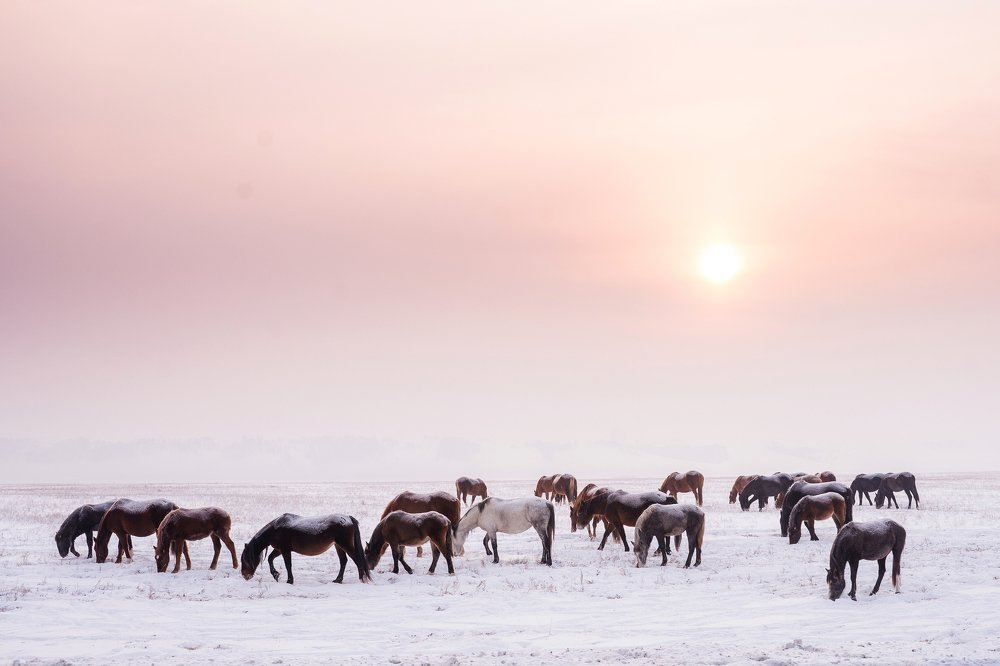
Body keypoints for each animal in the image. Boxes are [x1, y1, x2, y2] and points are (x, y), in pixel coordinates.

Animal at [240, 513, 370, 585]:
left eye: (244, 560)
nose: (245, 576)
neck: (275, 529)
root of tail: (348, 518)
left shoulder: (285, 550)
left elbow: (288, 565)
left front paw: (289, 580)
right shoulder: (279, 549)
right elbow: (270, 559)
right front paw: (276, 575)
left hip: (344, 544)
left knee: (357, 560)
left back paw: (362, 579)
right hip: (338, 545)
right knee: (343, 561)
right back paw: (338, 580)